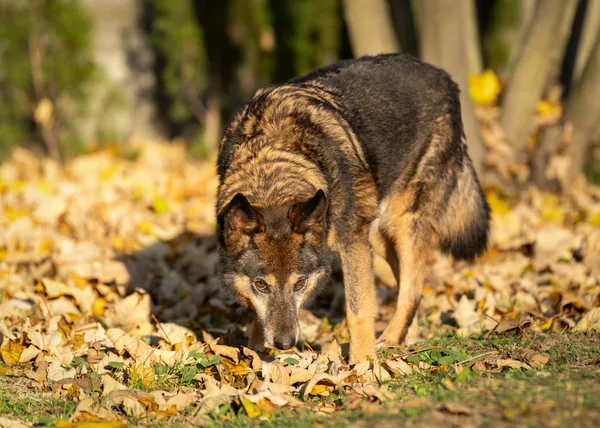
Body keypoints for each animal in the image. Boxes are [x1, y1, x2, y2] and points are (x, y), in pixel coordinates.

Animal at [213, 51, 490, 362]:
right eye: (261, 284)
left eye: (300, 283)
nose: (285, 343)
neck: (272, 162)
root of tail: (445, 78)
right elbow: (256, 314)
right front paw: (256, 352)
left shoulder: (351, 244)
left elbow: (357, 310)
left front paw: (363, 365)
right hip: (377, 235)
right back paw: (407, 339)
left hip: (400, 223)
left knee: (413, 291)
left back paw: (389, 341)